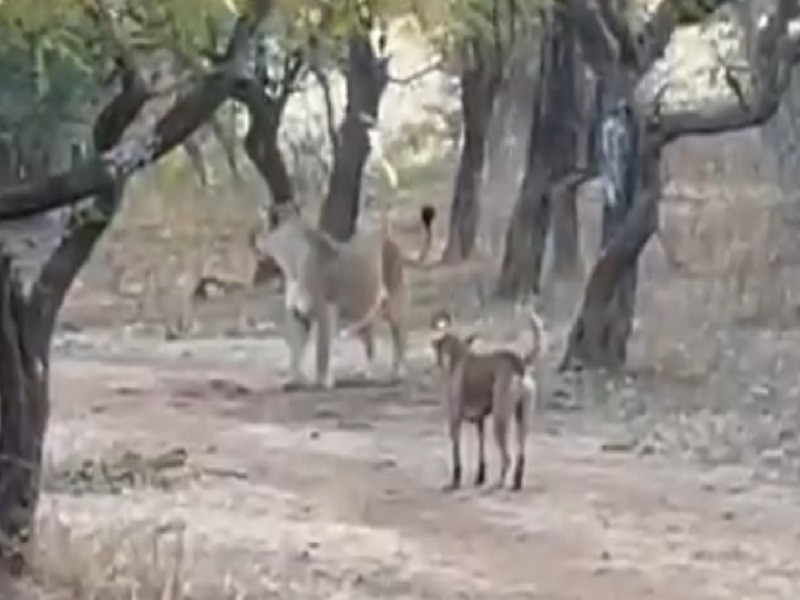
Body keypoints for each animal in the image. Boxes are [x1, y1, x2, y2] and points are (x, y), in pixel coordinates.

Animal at [432, 312, 544, 490]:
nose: (438, 361)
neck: (459, 354)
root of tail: (518, 362)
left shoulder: (454, 419)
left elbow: (456, 454)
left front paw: (456, 480)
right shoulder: (480, 421)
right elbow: (481, 451)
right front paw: (480, 477)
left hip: (500, 420)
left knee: (507, 457)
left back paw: (500, 482)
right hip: (523, 418)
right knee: (521, 454)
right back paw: (516, 482)